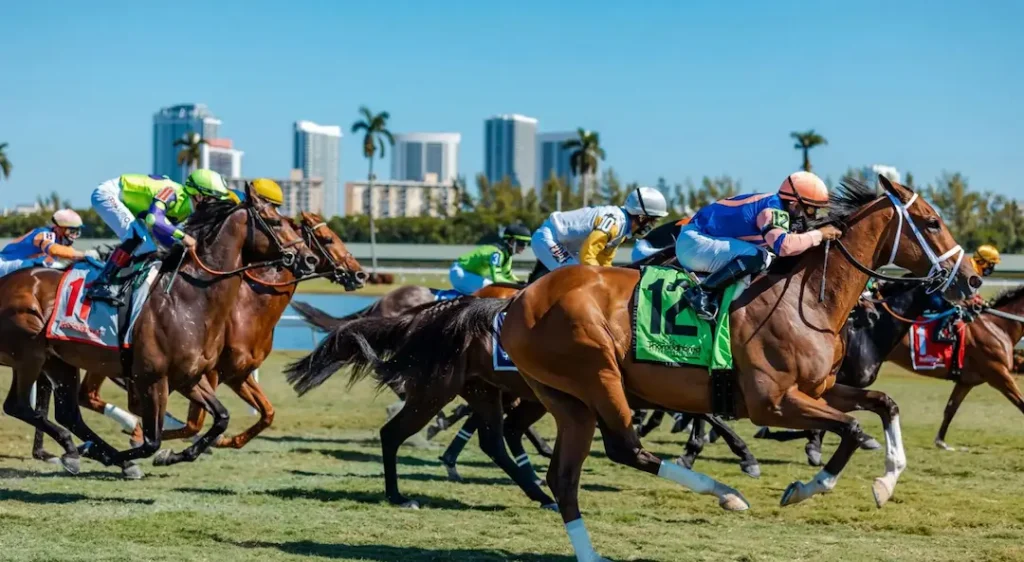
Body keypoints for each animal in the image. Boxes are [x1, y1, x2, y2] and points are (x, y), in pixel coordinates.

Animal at [0, 185, 318, 476]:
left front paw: (171, 455)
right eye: (276, 222)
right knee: (18, 406)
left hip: (60, 360)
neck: (189, 299)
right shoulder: (153, 379)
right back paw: (87, 451)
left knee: (68, 414)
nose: (309, 259)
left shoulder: (189, 377)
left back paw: (79, 450)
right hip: (30, 354)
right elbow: (152, 440)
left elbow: (221, 418)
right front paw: (123, 453)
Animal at [30, 212, 363, 459]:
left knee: (82, 394)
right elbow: (194, 423)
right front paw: (159, 442)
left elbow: (267, 413)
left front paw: (226, 441)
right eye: (327, 239)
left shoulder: (237, 374)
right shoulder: (210, 373)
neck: (247, 309)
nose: (360, 273)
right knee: (86, 395)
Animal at [318, 176, 978, 561]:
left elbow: (880, 408)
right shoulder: (773, 399)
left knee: (558, 471)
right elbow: (847, 430)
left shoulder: (820, 388)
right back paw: (725, 495)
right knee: (621, 448)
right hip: (590, 376)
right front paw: (806, 485)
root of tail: (512, 302)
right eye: (934, 222)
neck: (804, 296)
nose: (971, 280)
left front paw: (884, 479)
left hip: (562, 398)